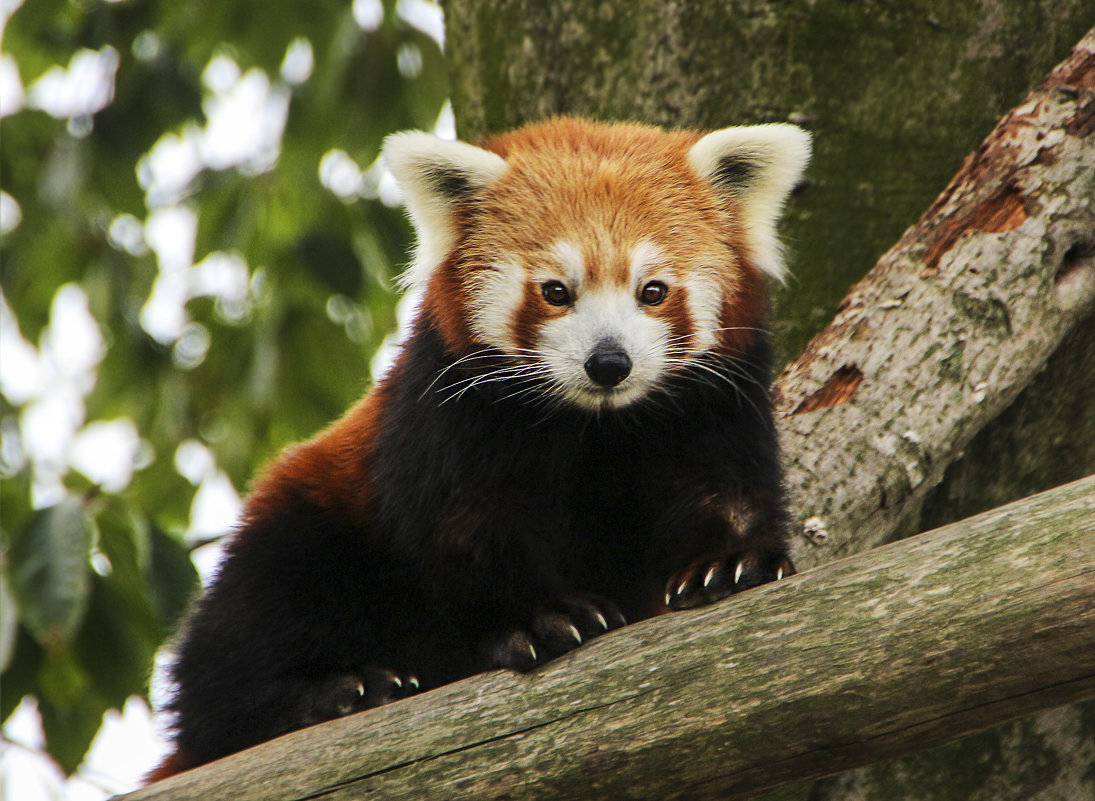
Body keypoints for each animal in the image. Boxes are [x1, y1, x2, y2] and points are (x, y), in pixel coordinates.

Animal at [150, 115, 810, 779]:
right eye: (555, 291)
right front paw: (541, 619)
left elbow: (723, 485)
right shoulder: (449, 416)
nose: (609, 363)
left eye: (653, 291)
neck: (595, 424)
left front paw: (731, 561)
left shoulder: (713, 404)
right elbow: (470, 530)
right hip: (309, 523)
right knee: (246, 634)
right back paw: (335, 691)